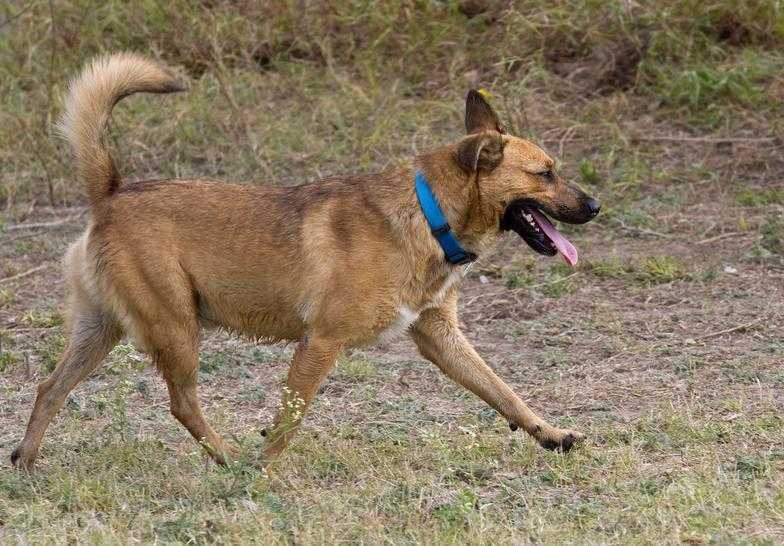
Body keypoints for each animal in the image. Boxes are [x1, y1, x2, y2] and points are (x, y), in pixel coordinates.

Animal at [10, 52, 600, 468]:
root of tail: (111, 193)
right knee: (181, 404)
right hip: (176, 329)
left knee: (48, 389)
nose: (596, 207)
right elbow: (289, 419)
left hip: (102, 331)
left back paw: (25, 462)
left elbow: (504, 392)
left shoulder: (439, 338)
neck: (428, 211)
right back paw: (229, 461)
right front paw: (263, 470)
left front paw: (550, 433)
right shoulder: (321, 342)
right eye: (545, 174)